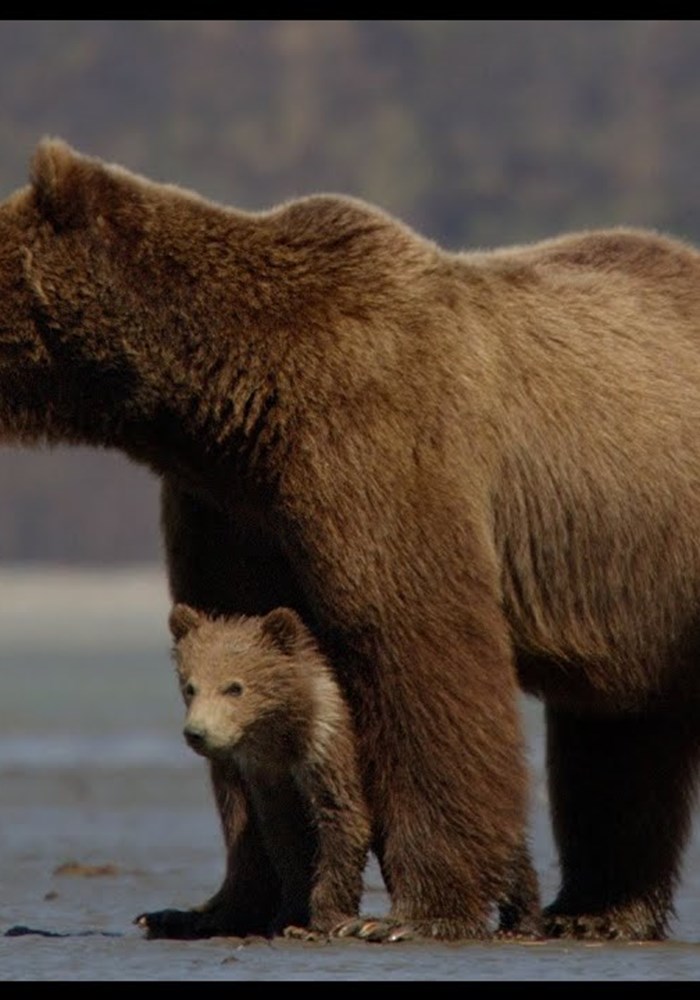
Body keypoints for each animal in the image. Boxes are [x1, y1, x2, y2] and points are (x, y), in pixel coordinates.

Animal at [0, 137, 696, 940]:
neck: (225, 400)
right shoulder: (231, 505)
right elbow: (238, 638)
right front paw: (209, 906)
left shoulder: (376, 444)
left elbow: (416, 648)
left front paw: (410, 912)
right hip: (627, 586)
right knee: (618, 730)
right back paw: (596, 912)